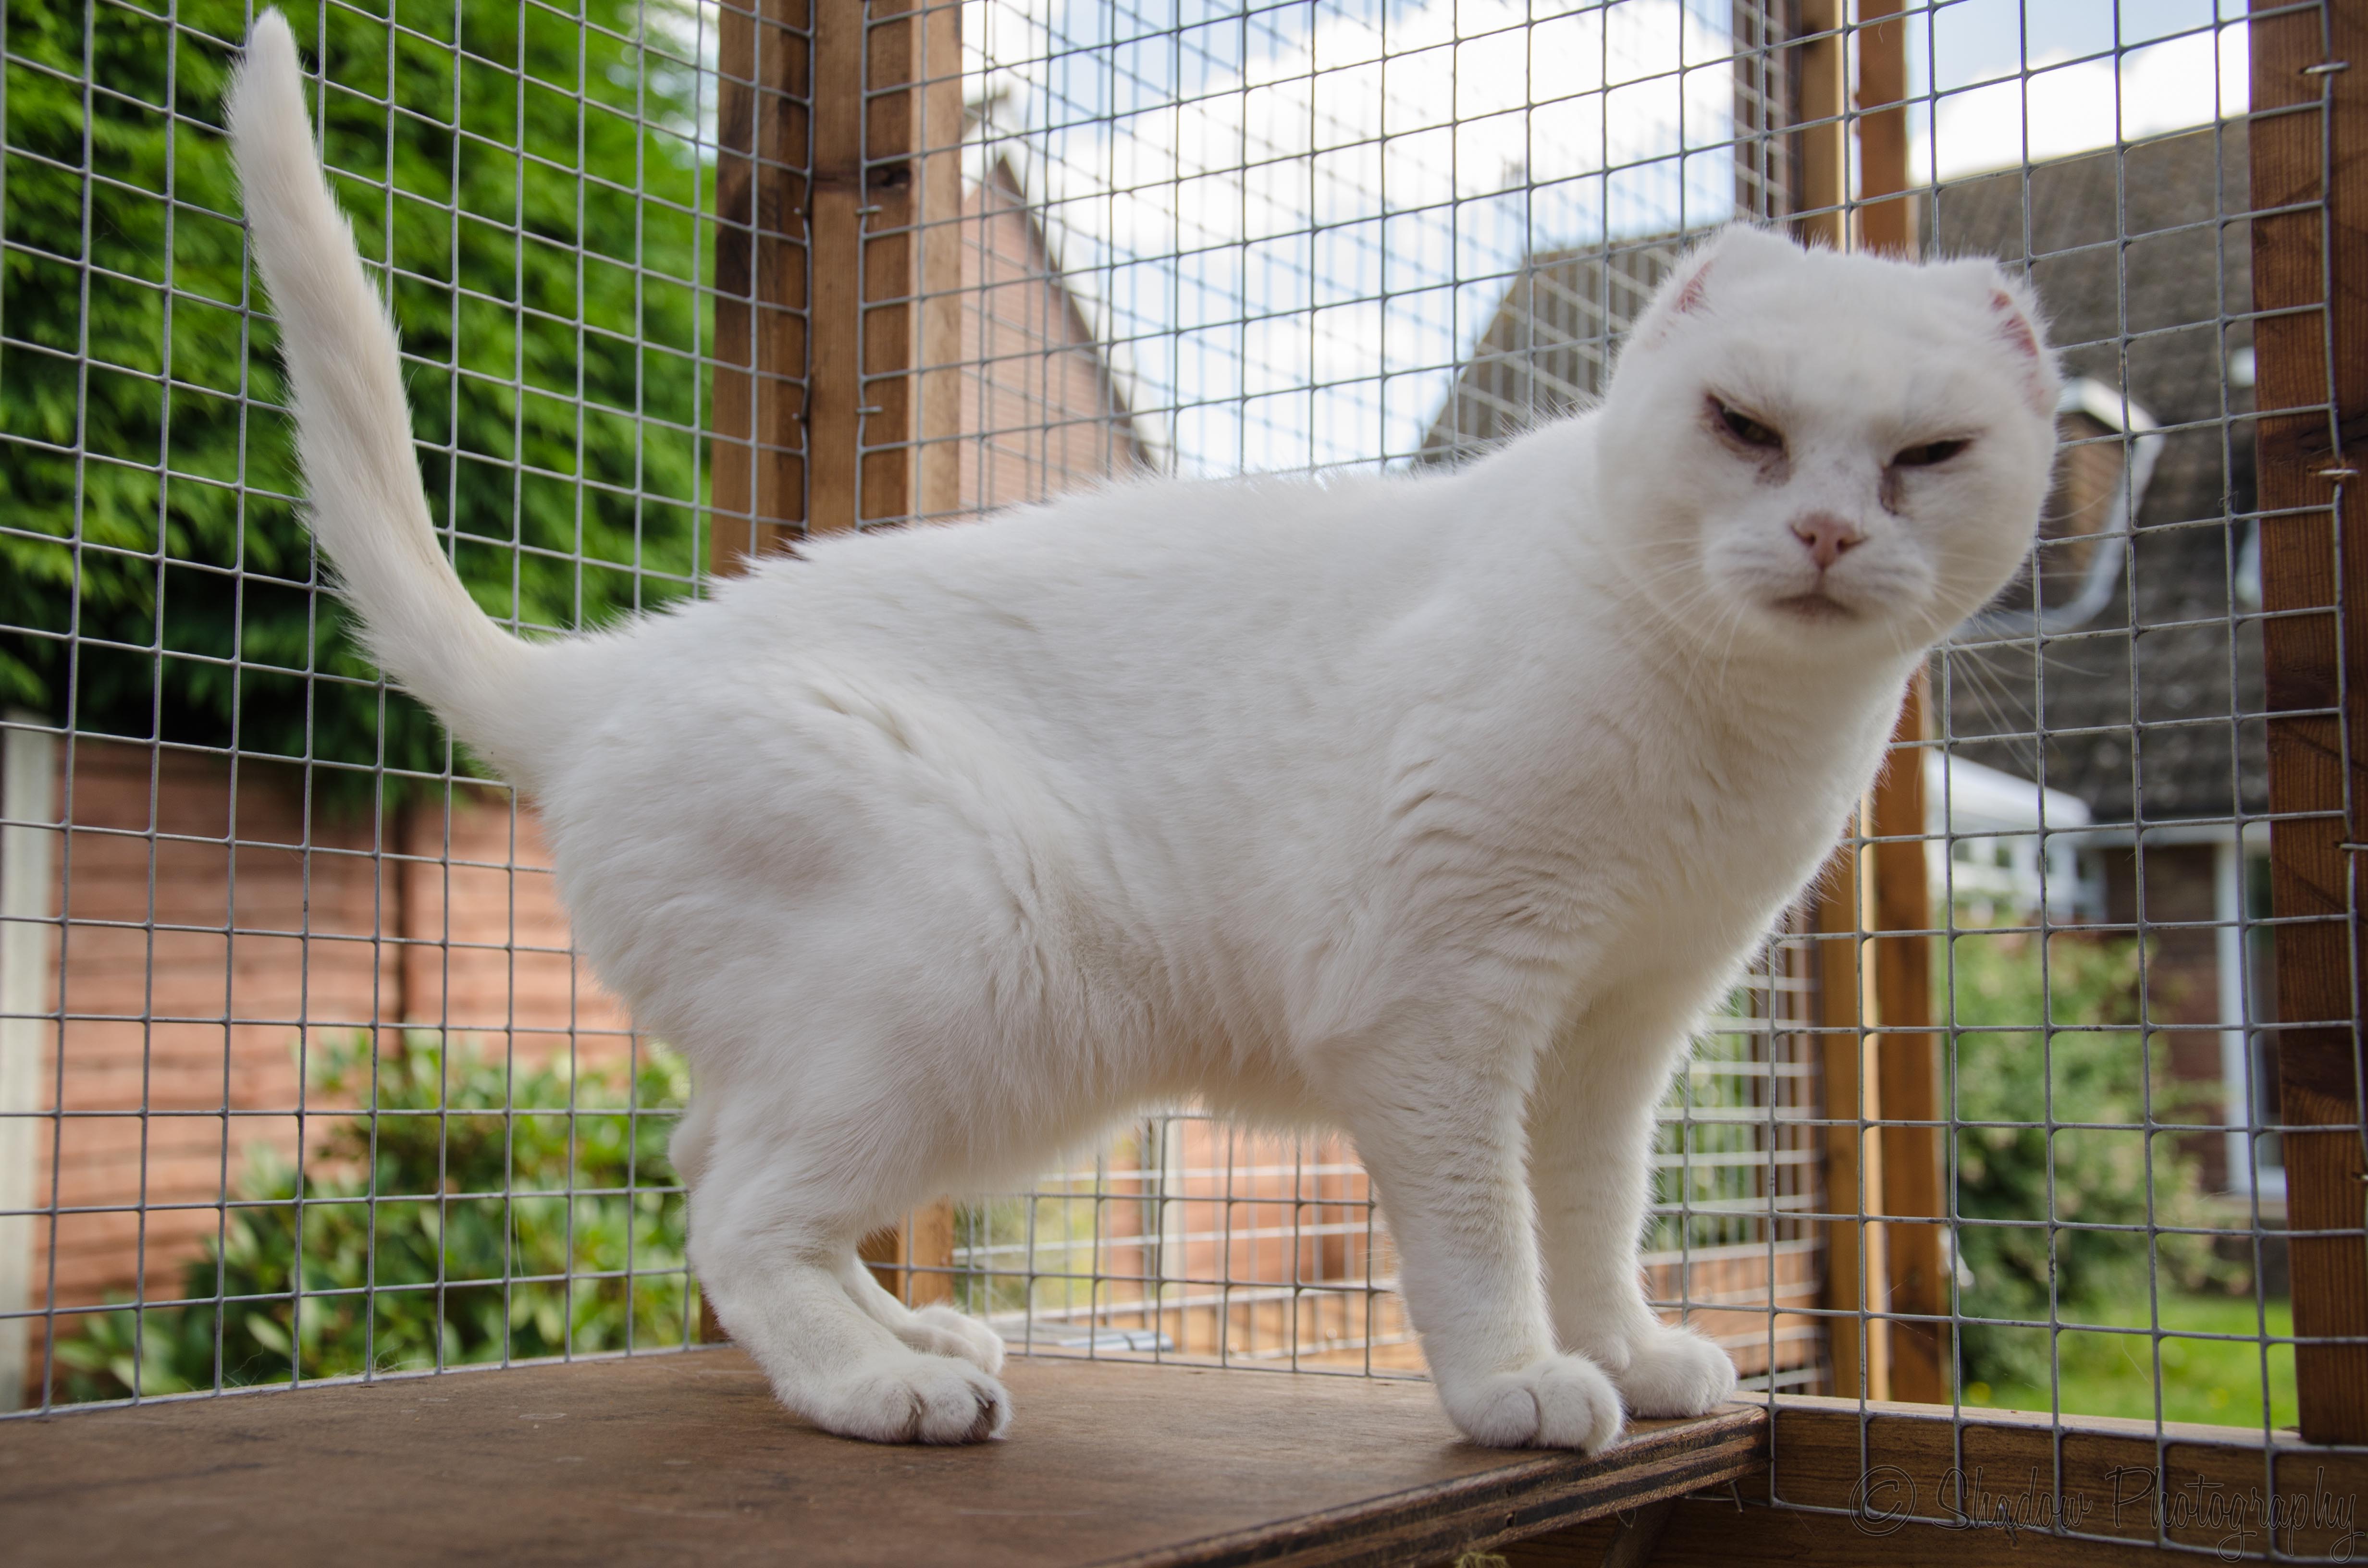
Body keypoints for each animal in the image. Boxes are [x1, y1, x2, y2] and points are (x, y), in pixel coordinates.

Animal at [228, 8, 2057, 1451]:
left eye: (1928, 456)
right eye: (1743, 428)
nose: (1823, 533)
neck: (1738, 728)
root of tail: (616, 670)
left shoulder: (1618, 1030)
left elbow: (1593, 1217)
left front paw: (1623, 1350)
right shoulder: (1442, 1006)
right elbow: (1482, 1232)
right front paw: (1517, 1386)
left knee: (711, 1169)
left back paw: (909, 1334)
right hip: (964, 997)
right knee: (737, 1216)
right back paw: (884, 1387)